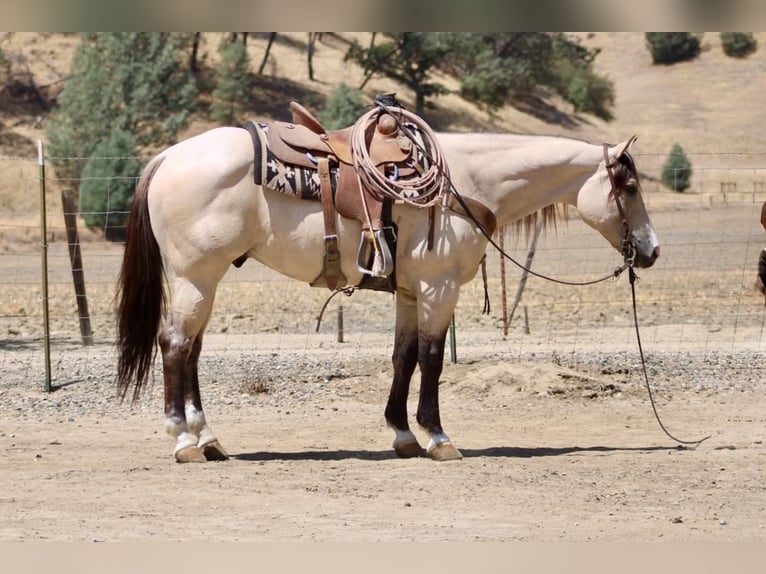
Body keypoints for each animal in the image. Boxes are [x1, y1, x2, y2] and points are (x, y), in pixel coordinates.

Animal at [115, 122, 660, 463]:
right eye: (629, 187)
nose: (652, 250)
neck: (465, 183)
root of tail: (168, 156)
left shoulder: (411, 293)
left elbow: (404, 357)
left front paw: (402, 434)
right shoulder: (439, 289)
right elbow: (433, 359)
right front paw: (437, 436)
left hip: (204, 281)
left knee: (191, 351)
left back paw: (208, 439)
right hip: (195, 278)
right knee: (175, 346)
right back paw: (183, 441)